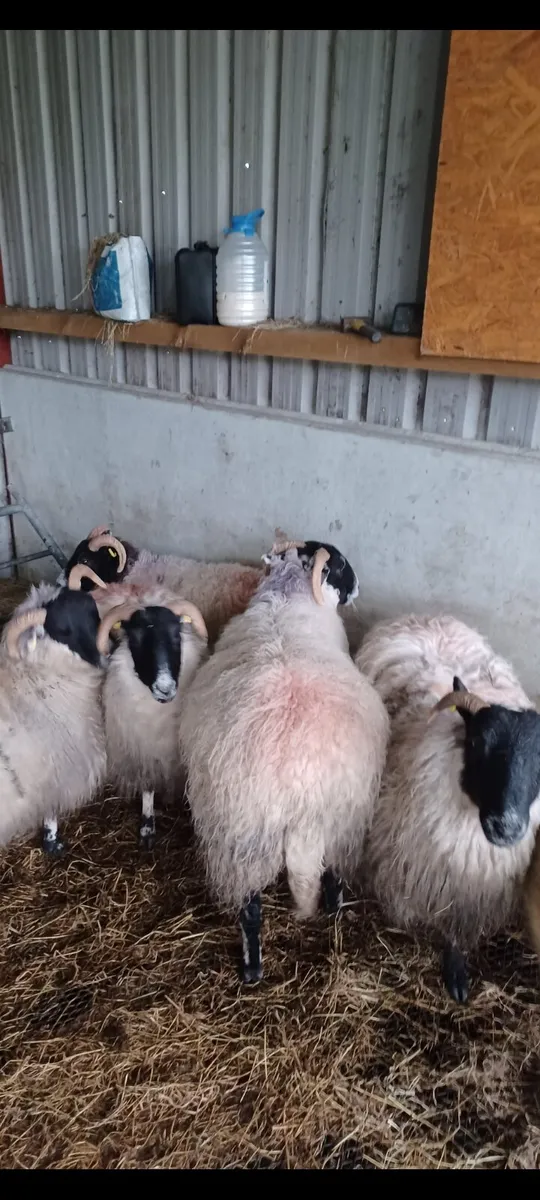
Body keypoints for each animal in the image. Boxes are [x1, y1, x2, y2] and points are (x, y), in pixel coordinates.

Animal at [0, 563, 109, 854]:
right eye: (62, 630)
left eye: (92, 612)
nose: (105, 654)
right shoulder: (53, 772)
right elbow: (50, 811)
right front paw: (52, 841)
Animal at [96, 591, 209, 848]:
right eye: (136, 639)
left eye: (176, 636)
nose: (164, 688)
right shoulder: (143, 750)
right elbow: (148, 786)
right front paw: (147, 827)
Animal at [179, 537, 389, 983]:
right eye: (340, 565)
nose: (358, 588)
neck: (287, 597)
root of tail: (300, 789)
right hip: (273, 834)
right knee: (257, 907)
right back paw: (256, 967)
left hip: (266, 833)